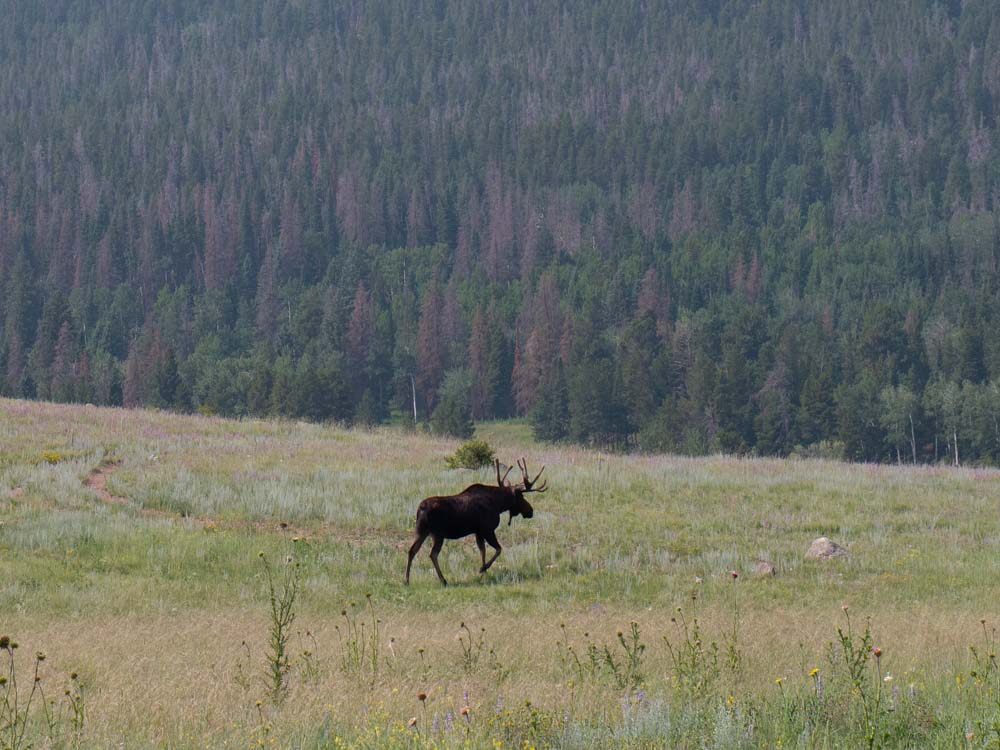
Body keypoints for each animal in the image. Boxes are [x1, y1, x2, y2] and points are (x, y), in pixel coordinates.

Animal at [404, 458, 548, 588]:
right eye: (521, 497)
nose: (530, 511)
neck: (499, 504)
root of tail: (420, 509)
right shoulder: (487, 529)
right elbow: (498, 549)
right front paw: (483, 568)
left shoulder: (478, 532)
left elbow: (482, 550)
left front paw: (483, 575)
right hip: (438, 534)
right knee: (432, 554)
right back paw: (443, 580)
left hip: (422, 531)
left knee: (412, 550)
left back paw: (407, 581)